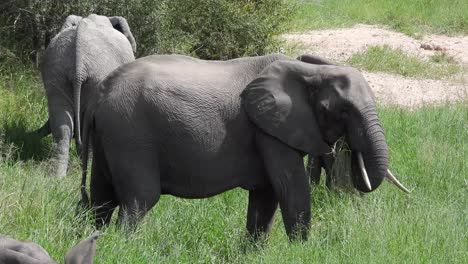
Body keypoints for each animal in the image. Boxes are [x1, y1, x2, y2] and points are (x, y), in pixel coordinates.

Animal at [78, 52, 408, 240]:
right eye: (342, 111)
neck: (311, 72)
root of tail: (99, 94)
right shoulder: (270, 131)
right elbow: (291, 188)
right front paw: (303, 250)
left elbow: (267, 196)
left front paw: (254, 252)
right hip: (130, 133)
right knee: (139, 201)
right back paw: (124, 246)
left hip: (111, 136)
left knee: (101, 198)